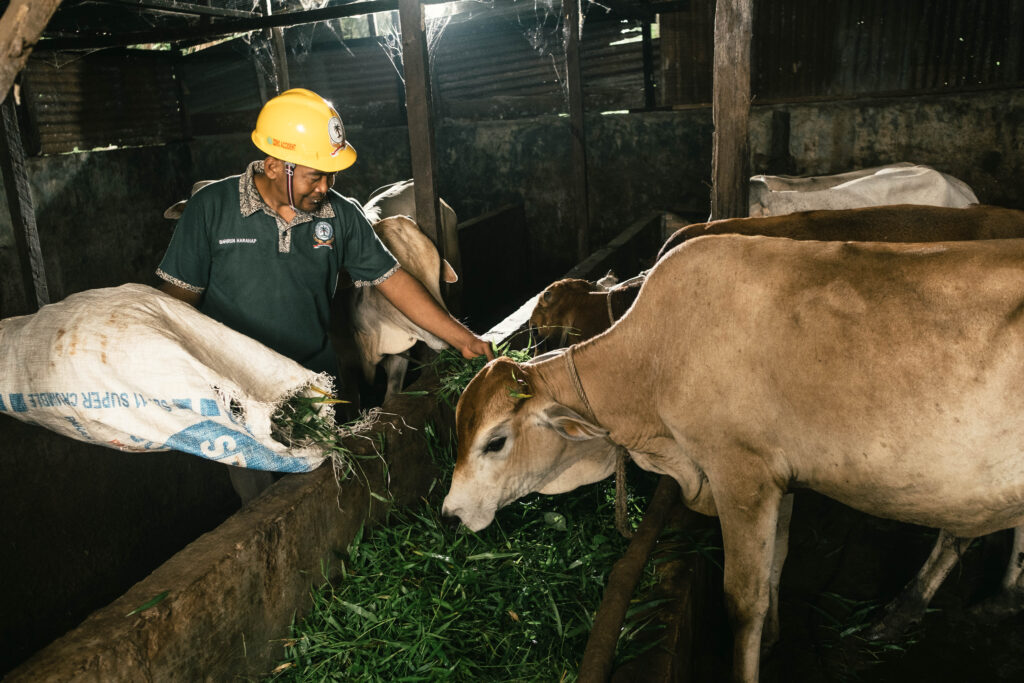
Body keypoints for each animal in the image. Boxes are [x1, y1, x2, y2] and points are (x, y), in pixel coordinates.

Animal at [446, 233, 1024, 683]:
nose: (450, 514)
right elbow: (776, 566)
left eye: (495, 441)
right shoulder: (781, 478)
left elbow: (743, 601)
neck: (654, 360)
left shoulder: (741, 475)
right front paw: (772, 640)